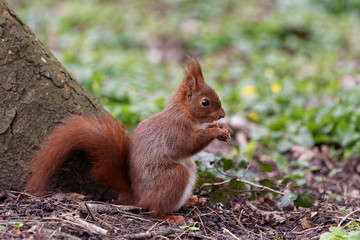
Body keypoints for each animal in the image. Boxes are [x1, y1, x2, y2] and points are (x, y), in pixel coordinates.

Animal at [26, 56, 233, 223]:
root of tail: (138, 197)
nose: (222, 114)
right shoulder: (176, 130)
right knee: (153, 210)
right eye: (205, 102)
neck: (183, 113)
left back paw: (191, 200)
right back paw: (169, 217)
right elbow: (189, 144)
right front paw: (216, 132)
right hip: (173, 177)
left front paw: (223, 128)